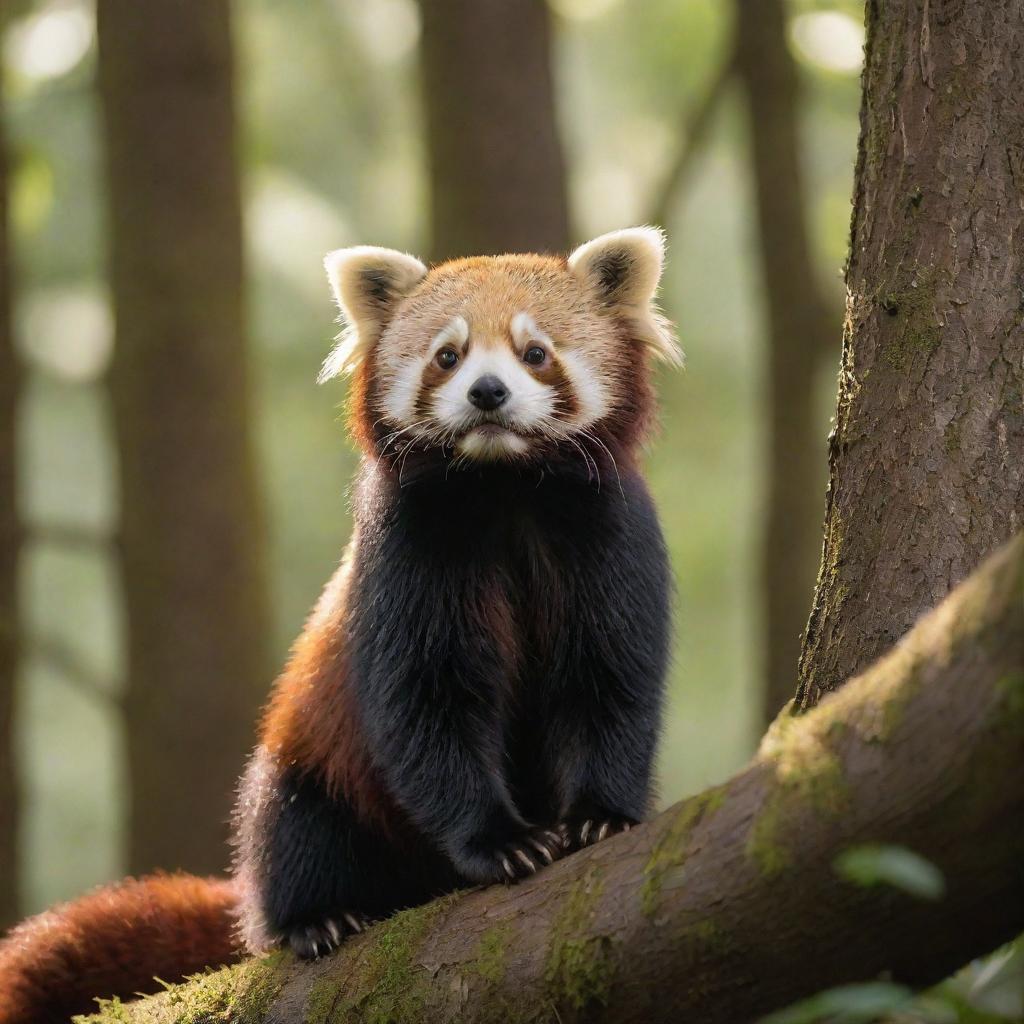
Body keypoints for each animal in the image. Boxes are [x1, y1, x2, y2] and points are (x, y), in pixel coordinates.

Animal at [0, 228, 679, 1019]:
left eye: (535, 351)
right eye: (448, 355)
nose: (488, 391)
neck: (503, 487)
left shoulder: (605, 535)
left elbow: (609, 683)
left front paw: (600, 815)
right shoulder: (409, 554)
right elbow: (426, 707)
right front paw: (499, 842)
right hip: (304, 775)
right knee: (289, 824)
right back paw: (317, 916)